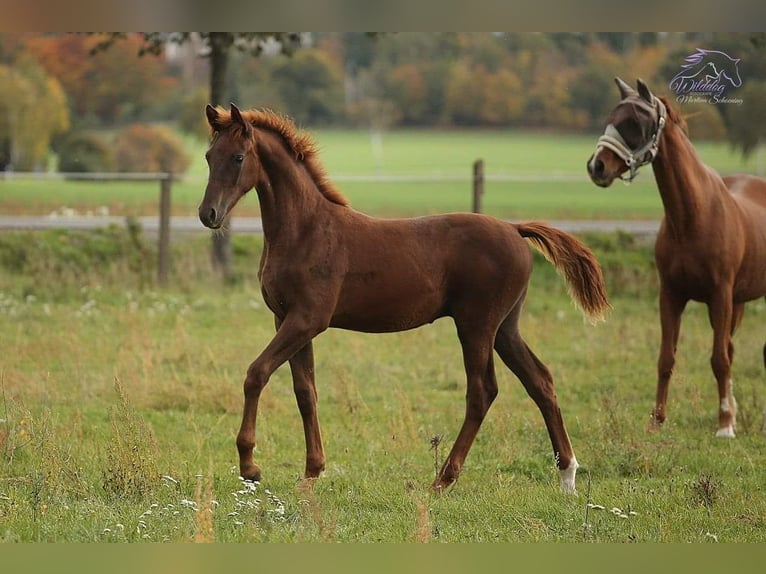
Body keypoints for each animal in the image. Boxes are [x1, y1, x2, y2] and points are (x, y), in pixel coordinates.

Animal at [199, 103, 610, 493]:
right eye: (208, 155)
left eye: (238, 157)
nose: (208, 214)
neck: (305, 230)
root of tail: (514, 228)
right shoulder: (287, 319)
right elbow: (305, 392)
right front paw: (312, 473)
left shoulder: (308, 319)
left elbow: (256, 374)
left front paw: (250, 467)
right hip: (506, 327)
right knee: (540, 381)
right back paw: (567, 476)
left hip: (476, 325)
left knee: (483, 391)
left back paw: (443, 479)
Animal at [587, 77, 766, 437]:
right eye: (611, 117)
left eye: (635, 122)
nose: (597, 166)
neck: (692, 216)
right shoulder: (671, 295)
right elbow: (666, 357)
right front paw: (656, 420)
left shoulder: (719, 297)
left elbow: (718, 359)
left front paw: (725, 425)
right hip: (739, 302)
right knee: (731, 347)